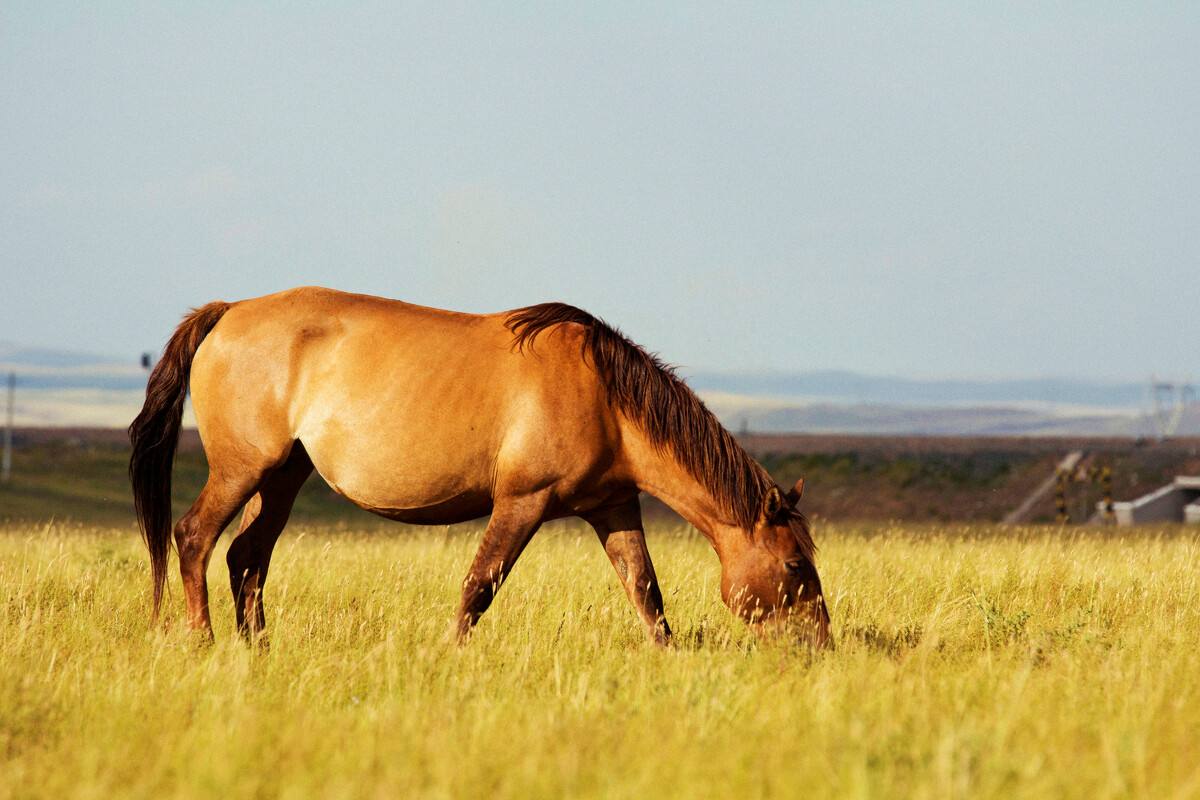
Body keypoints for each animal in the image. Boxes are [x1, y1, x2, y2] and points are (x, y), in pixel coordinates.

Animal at [129, 286, 830, 648]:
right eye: (797, 565)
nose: (819, 643)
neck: (605, 396)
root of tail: (227, 311)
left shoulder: (613, 507)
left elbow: (645, 591)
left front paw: (669, 657)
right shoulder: (522, 502)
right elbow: (479, 587)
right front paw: (450, 656)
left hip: (283, 477)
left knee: (247, 557)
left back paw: (258, 648)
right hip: (242, 471)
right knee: (195, 538)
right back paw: (204, 642)